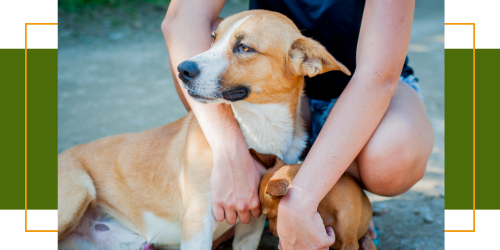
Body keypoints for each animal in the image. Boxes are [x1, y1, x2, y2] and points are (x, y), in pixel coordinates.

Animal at [58, 9, 350, 250]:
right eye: (213, 38)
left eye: (244, 47)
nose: (183, 69)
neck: (258, 129)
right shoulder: (197, 224)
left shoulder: (251, 224)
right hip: (78, 195)